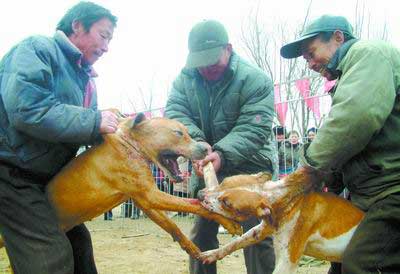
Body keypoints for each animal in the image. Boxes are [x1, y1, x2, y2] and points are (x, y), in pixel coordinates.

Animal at [0, 114, 241, 260]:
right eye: (179, 133)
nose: (206, 148)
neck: (130, 144)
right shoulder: (152, 195)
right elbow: (196, 204)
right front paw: (229, 223)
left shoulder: (144, 200)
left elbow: (172, 225)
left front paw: (190, 247)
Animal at [198, 170, 364, 272]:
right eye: (223, 182)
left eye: (227, 203)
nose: (199, 195)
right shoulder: (260, 230)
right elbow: (236, 242)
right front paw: (213, 254)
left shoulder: (287, 261)